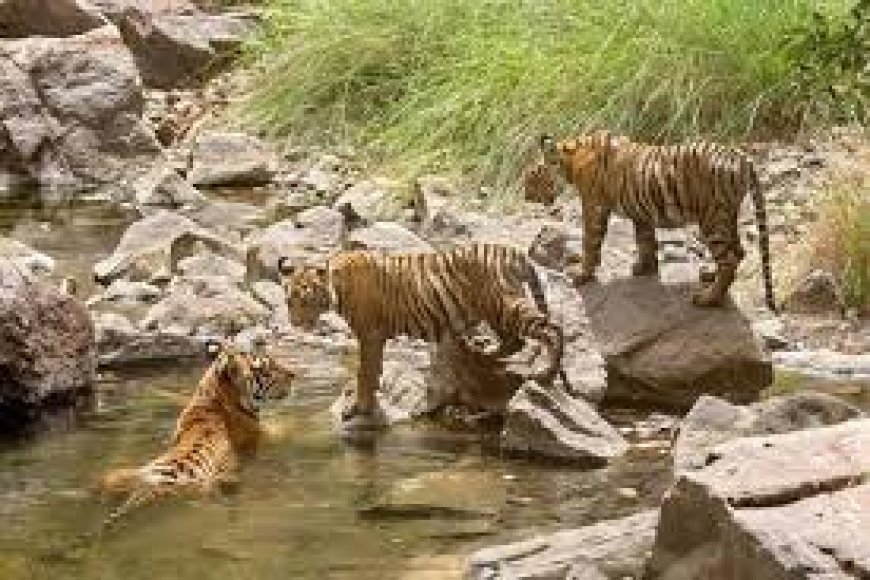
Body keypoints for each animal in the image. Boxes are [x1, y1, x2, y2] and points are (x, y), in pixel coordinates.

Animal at [98, 339, 294, 525]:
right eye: (265, 369)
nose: (293, 374)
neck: (212, 396)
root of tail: (145, 488)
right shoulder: (262, 434)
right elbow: (284, 430)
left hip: (114, 476)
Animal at [277, 244, 564, 425]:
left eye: (305, 299)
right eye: (289, 300)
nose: (295, 323)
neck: (338, 287)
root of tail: (514, 252)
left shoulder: (370, 334)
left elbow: (364, 372)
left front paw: (357, 408)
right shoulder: (374, 337)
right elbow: (373, 372)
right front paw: (368, 405)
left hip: (506, 305)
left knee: (551, 328)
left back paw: (546, 373)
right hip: (494, 312)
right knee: (515, 341)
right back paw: (483, 352)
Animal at [524, 130, 775, 310]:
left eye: (532, 177)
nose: (526, 196)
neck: (572, 159)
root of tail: (741, 157)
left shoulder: (594, 207)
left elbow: (590, 242)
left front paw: (581, 274)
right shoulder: (640, 211)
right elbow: (644, 240)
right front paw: (644, 268)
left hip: (712, 218)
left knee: (729, 260)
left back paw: (707, 299)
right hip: (727, 214)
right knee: (738, 252)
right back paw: (709, 276)